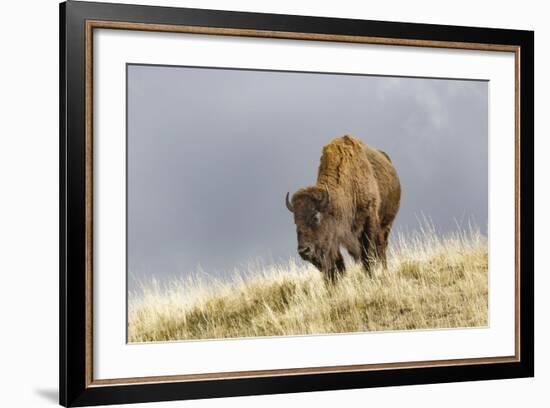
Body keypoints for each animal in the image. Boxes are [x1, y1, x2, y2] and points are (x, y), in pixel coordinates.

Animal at [288, 135, 402, 282]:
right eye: (295, 221)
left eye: (316, 216)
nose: (304, 251)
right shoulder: (334, 236)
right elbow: (337, 262)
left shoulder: (369, 219)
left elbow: (368, 253)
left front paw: (370, 275)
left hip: (386, 224)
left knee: (382, 247)